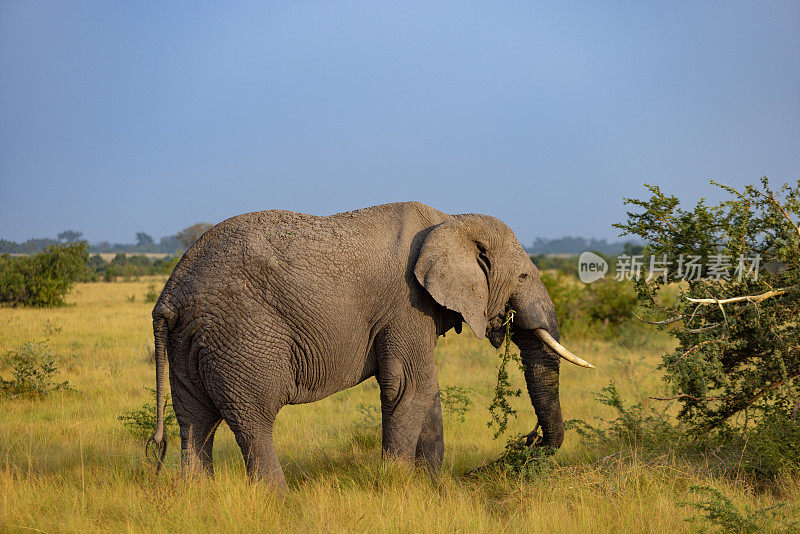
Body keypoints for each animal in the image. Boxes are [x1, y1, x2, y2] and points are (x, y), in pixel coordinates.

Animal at [147, 203, 592, 488]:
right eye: (523, 277)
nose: (526, 443)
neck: (451, 221)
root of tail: (169, 295)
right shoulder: (406, 303)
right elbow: (410, 386)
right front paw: (394, 487)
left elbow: (426, 392)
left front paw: (432, 489)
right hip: (241, 336)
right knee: (253, 418)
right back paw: (277, 501)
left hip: (192, 340)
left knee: (195, 421)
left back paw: (198, 496)